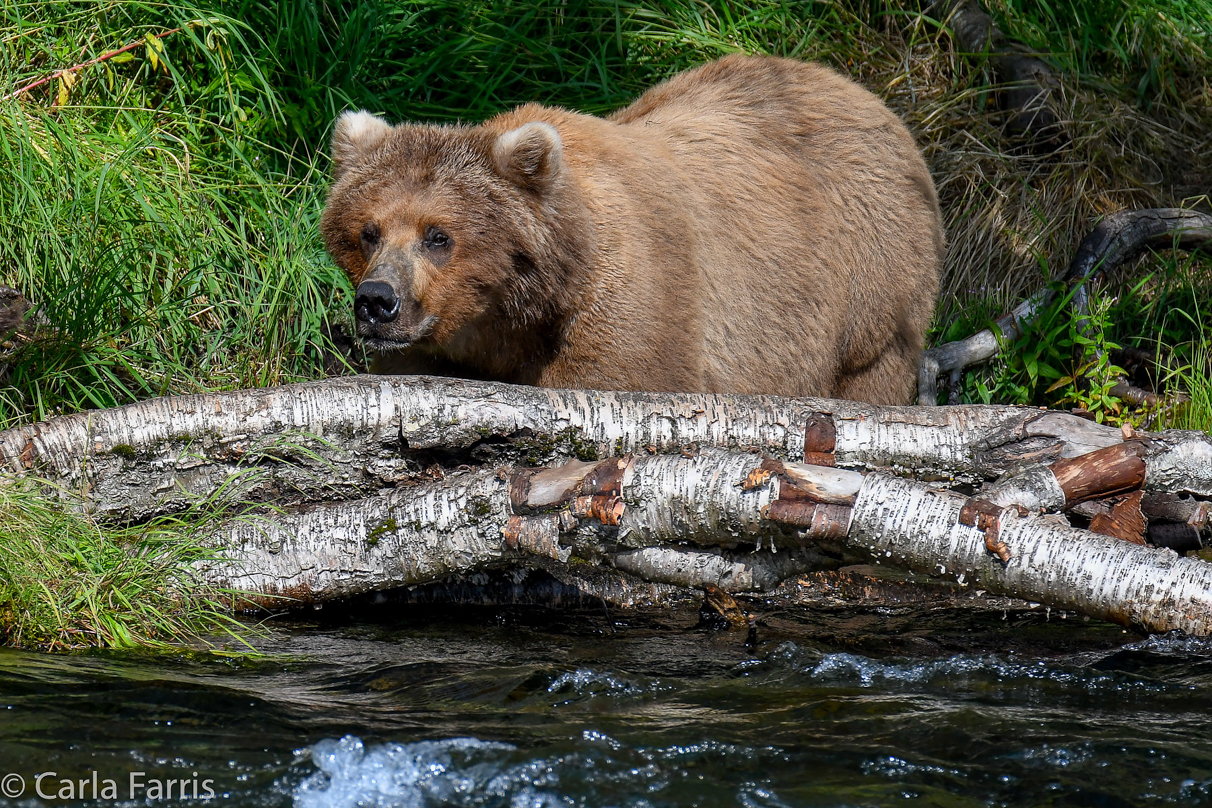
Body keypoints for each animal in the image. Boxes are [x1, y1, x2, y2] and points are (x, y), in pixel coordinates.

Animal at [322, 53, 945, 404]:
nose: (378, 301)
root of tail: (865, 97)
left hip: (868, 285)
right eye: (368, 231)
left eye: (438, 235)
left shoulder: (636, 298)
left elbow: (618, 376)